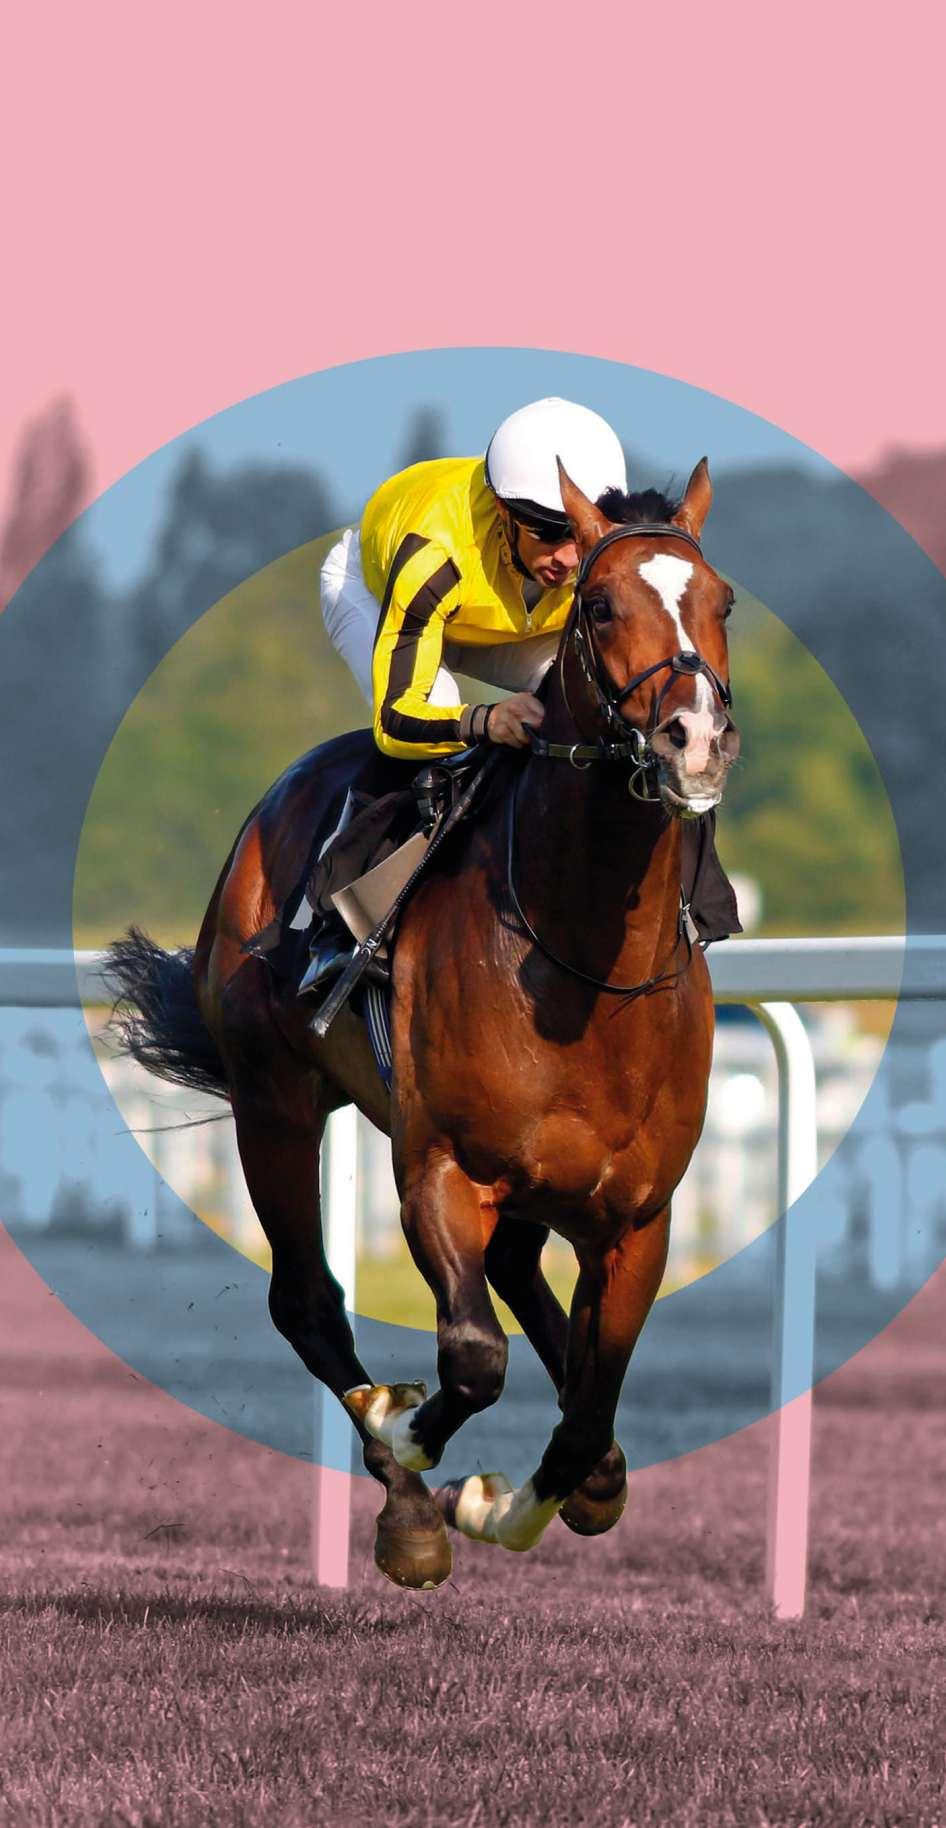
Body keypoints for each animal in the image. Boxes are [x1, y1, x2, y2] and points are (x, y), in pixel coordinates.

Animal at [107, 458, 740, 1591]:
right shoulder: (440, 1168)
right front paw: (413, 1449)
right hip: (273, 1101)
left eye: (723, 602)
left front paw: (538, 1496)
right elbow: (473, 1357)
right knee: (308, 1301)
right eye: (601, 605)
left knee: (522, 1284)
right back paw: (403, 1500)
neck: (586, 964)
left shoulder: (639, 1217)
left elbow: (592, 1393)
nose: (696, 741)